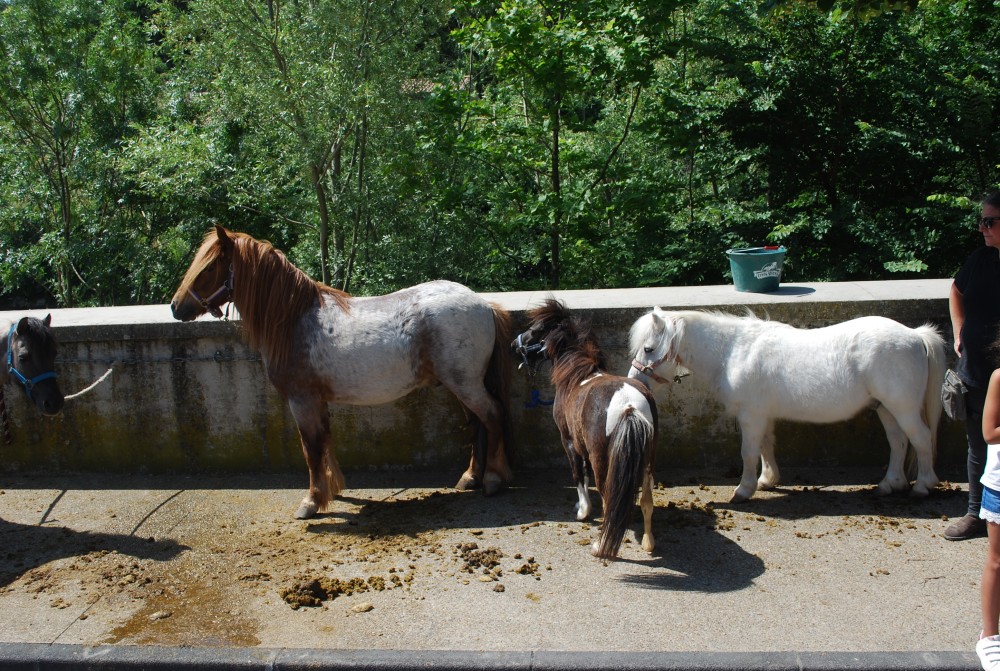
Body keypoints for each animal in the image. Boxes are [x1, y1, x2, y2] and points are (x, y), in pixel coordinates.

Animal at [169, 226, 512, 520]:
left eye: (208, 268)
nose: (175, 307)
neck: (294, 320)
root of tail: (484, 304)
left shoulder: (302, 400)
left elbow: (311, 448)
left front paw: (311, 501)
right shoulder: (318, 402)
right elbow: (325, 442)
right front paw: (331, 491)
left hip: (465, 383)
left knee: (492, 415)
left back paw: (493, 480)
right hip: (460, 384)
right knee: (476, 423)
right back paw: (470, 477)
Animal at [516, 302, 656, 560]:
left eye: (535, 329)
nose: (514, 344)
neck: (578, 376)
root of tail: (629, 406)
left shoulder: (569, 441)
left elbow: (579, 475)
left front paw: (582, 511)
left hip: (603, 460)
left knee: (609, 497)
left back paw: (600, 546)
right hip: (648, 461)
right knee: (647, 500)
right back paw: (648, 543)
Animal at [628, 310, 948, 504]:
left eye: (648, 348)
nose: (635, 380)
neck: (733, 351)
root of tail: (915, 335)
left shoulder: (751, 416)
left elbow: (749, 452)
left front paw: (743, 490)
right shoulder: (763, 416)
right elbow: (767, 446)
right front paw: (768, 480)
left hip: (902, 407)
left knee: (920, 438)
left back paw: (923, 485)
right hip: (885, 408)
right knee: (898, 441)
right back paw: (890, 484)